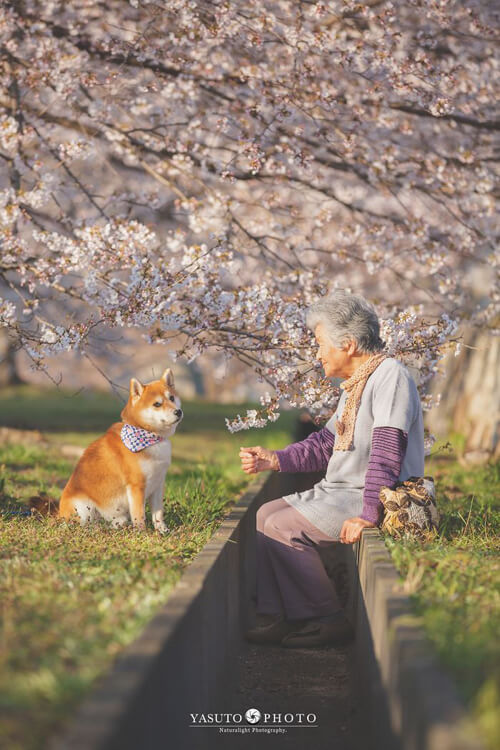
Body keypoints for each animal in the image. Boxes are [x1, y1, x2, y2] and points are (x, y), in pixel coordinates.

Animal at [58, 370, 183, 536]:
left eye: (172, 398)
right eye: (157, 404)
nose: (178, 411)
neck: (150, 437)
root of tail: (58, 515)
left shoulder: (158, 484)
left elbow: (158, 514)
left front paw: (163, 531)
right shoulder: (136, 486)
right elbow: (139, 515)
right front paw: (143, 534)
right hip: (83, 507)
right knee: (82, 524)